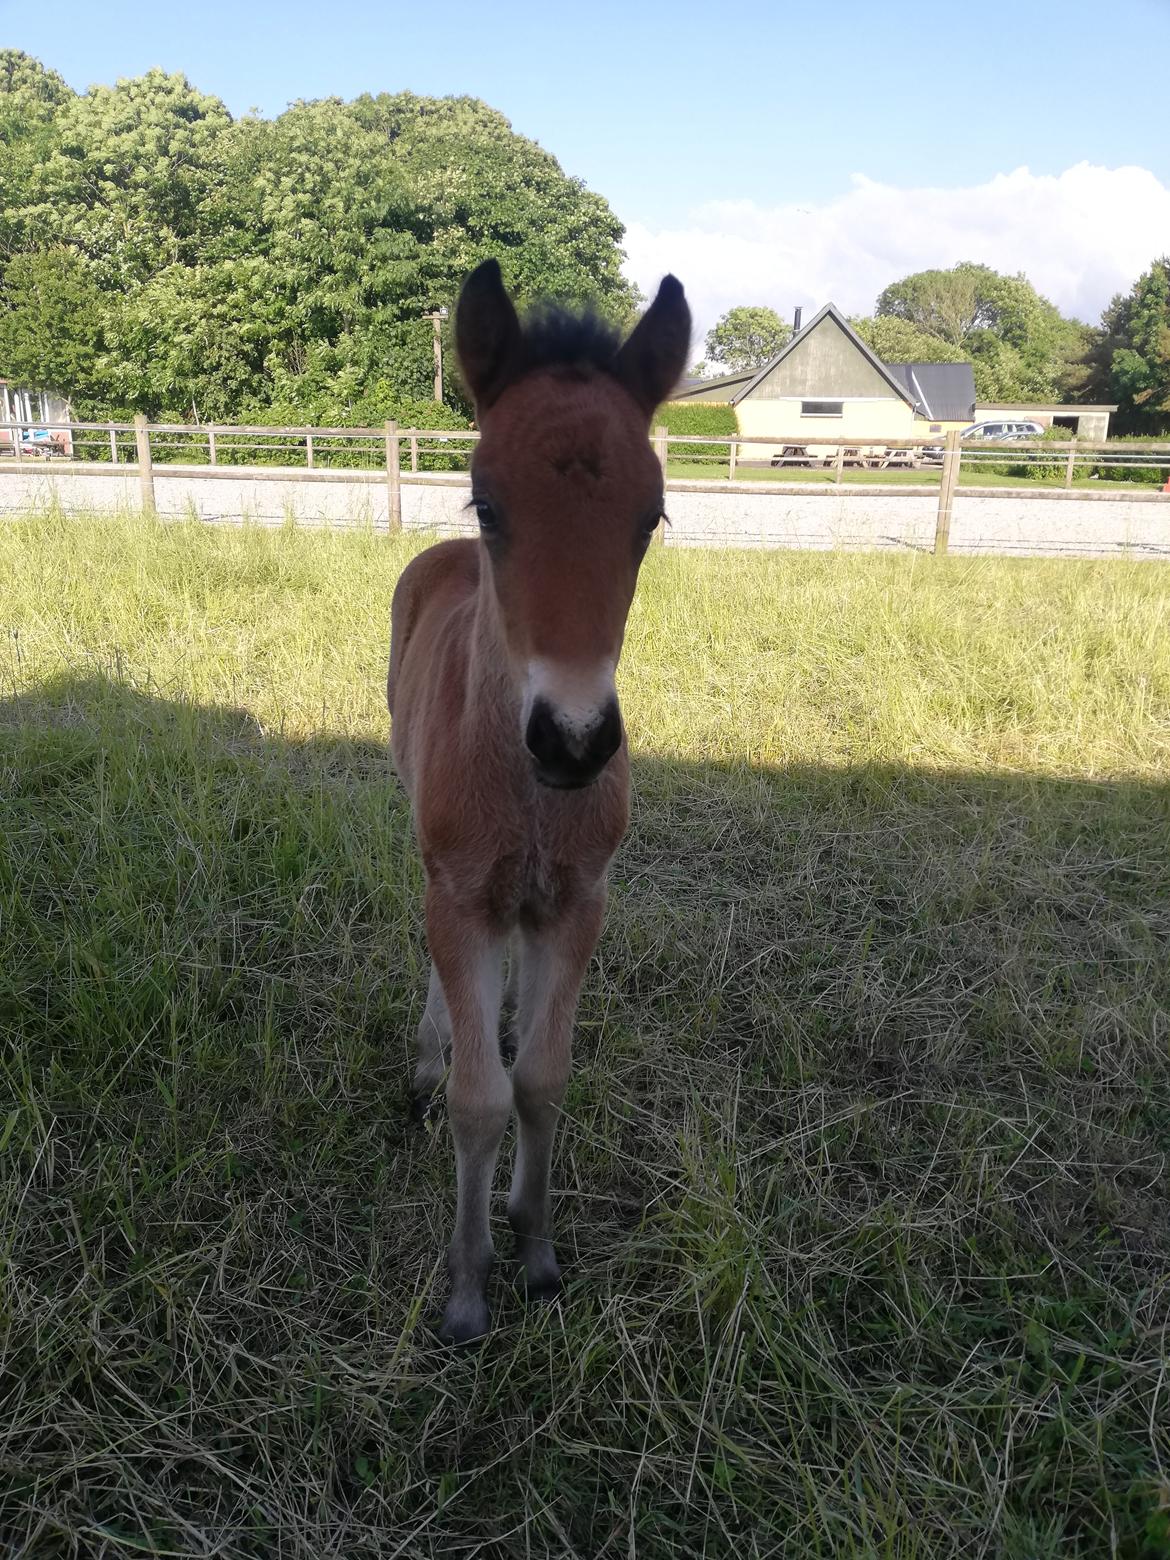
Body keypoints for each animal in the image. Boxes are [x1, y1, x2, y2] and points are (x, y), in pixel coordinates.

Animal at [390, 258, 692, 1341]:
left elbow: (544, 1080)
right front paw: (467, 1287)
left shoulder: (578, 903)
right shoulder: (461, 893)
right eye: (486, 504)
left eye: (651, 518)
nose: (573, 739)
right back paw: (427, 1060)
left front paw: (538, 1247)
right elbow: (482, 1098)